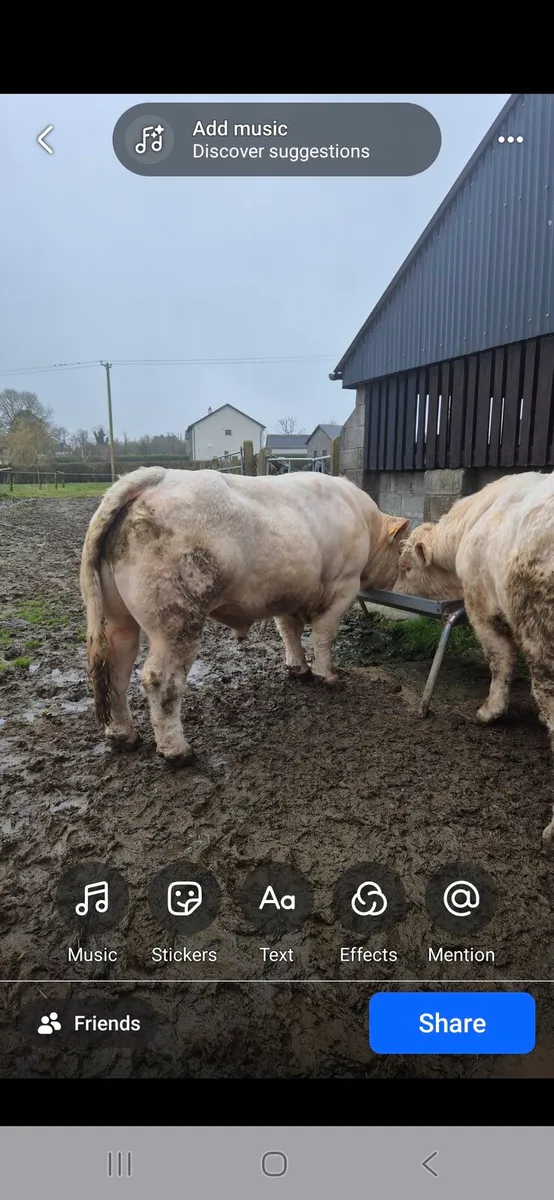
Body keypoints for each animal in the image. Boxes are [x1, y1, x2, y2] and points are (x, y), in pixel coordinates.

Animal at [80, 466, 409, 766]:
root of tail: (155, 477)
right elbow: (324, 636)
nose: (398, 583)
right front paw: (327, 675)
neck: (362, 518)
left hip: (118, 619)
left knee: (116, 671)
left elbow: (289, 631)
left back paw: (123, 735)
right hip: (176, 621)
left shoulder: (288, 593)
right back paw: (177, 751)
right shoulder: (343, 588)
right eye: (401, 552)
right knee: (161, 683)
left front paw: (298, 668)